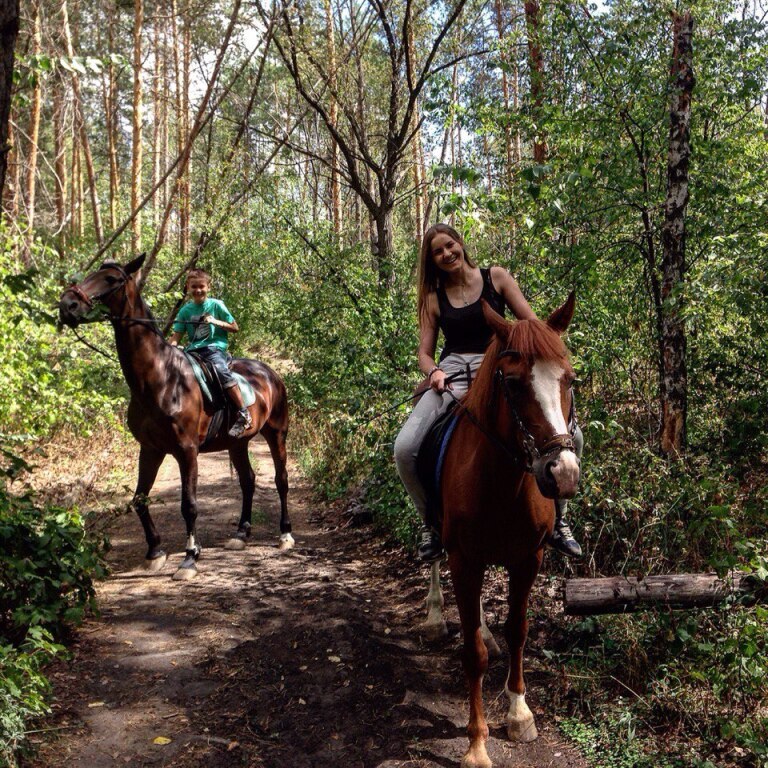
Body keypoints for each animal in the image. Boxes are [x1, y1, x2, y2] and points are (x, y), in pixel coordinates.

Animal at [57, 255, 294, 580]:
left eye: (110, 279)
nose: (67, 304)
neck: (161, 378)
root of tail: (270, 373)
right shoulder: (150, 449)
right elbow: (139, 499)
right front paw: (155, 551)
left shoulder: (187, 450)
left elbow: (189, 505)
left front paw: (190, 557)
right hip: (237, 443)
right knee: (248, 481)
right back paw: (241, 534)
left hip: (276, 433)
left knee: (281, 480)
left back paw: (285, 534)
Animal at [424, 294, 580, 768]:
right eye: (512, 383)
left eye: (570, 380)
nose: (562, 474)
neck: (501, 481)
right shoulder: (464, 559)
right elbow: (471, 654)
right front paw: (477, 745)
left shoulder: (528, 558)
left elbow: (518, 629)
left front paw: (519, 713)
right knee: (432, 557)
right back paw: (435, 615)